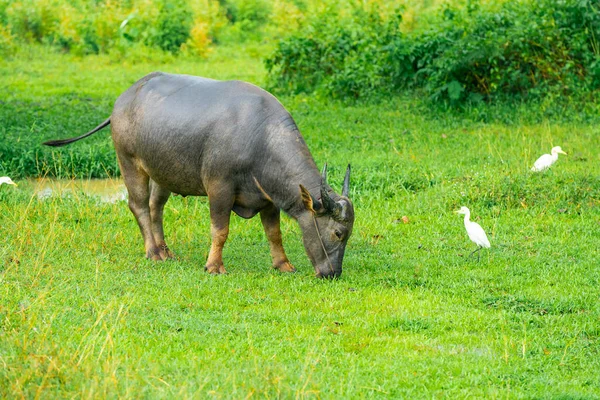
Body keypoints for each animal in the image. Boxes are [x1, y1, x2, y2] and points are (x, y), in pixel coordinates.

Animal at [47, 72, 356, 278]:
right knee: (138, 205)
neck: (260, 141)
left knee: (155, 207)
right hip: (129, 162)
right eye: (338, 232)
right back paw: (153, 253)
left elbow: (274, 233)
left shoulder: (268, 197)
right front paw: (214, 266)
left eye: (348, 234)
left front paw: (283, 265)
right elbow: (220, 231)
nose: (333, 273)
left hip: (163, 172)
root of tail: (123, 99)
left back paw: (165, 250)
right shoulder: (219, 188)